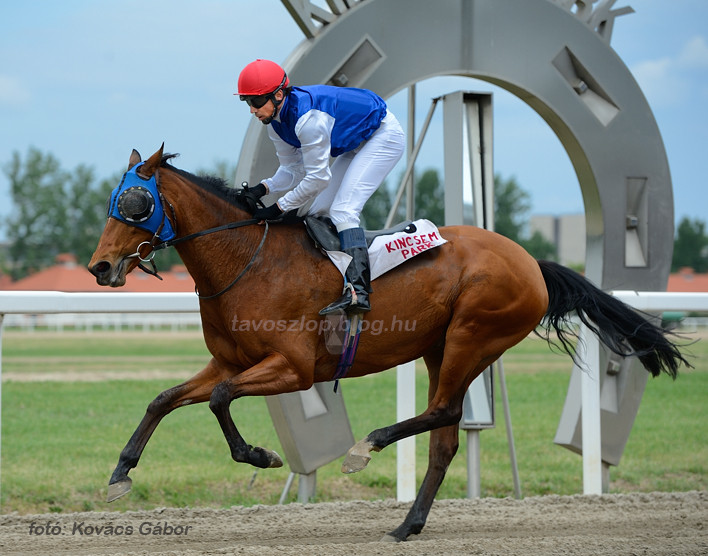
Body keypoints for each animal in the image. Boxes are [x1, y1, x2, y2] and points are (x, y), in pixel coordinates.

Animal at [87, 146, 684, 540]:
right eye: (113, 199)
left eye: (137, 202)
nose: (100, 267)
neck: (246, 262)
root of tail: (531, 262)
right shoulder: (229, 361)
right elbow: (165, 398)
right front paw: (119, 475)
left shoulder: (293, 367)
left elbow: (218, 400)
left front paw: (259, 454)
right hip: (441, 346)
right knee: (445, 437)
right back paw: (408, 523)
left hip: (472, 336)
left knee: (443, 411)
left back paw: (366, 448)